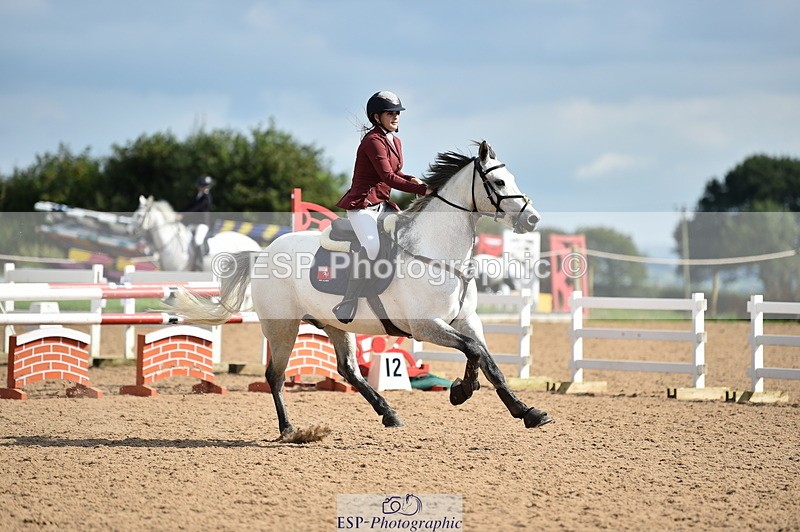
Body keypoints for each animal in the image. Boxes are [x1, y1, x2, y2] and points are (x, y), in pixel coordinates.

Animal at [172, 141, 553, 438]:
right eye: (499, 181)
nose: (532, 219)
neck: (437, 252)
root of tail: (262, 252)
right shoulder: (425, 325)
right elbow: (474, 352)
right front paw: (462, 390)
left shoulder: (466, 320)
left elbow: (487, 360)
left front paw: (526, 411)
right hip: (283, 327)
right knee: (275, 376)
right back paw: (289, 430)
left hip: (334, 325)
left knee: (348, 371)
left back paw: (388, 413)